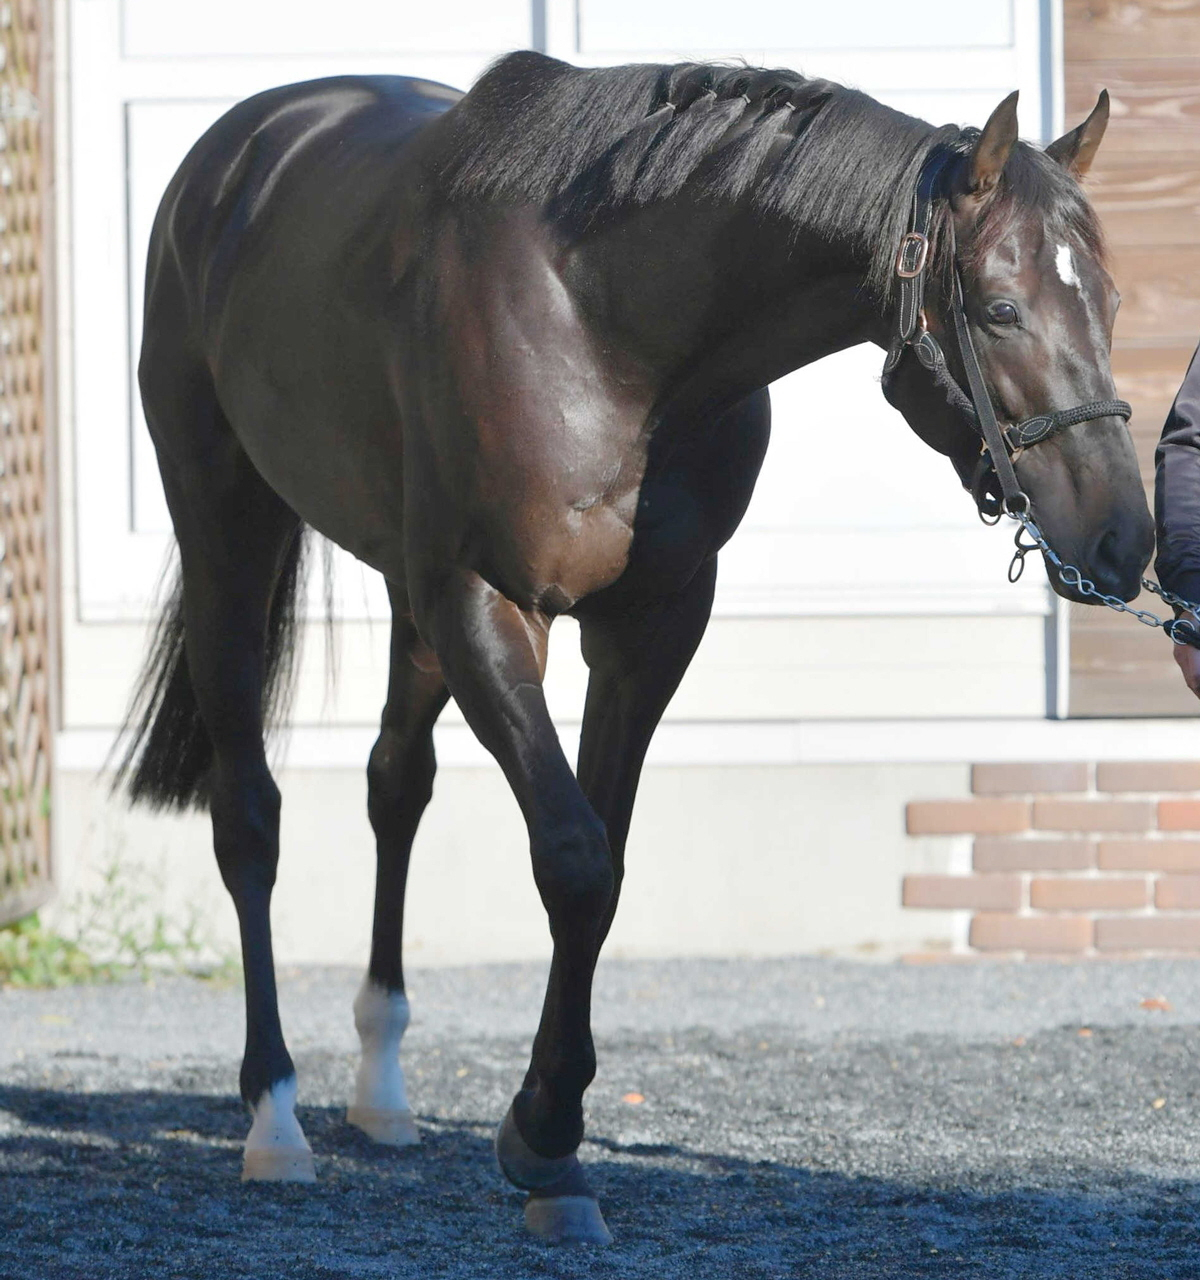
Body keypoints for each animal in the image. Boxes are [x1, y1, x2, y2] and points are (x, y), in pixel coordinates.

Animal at [118, 55, 1151, 1244]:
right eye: (998, 308)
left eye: (1110, 299)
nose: (1124, 543)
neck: (610, 327)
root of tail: (240, 146)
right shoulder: (485, 601)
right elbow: (571, 858)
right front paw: (547, 1143)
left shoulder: (649, 624)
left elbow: (604, 872)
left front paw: (547, 1134)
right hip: (227, 524)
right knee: (249, 815)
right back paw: (275, 1116)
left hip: (402, 586)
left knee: (394, 785)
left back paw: (380, 1088)